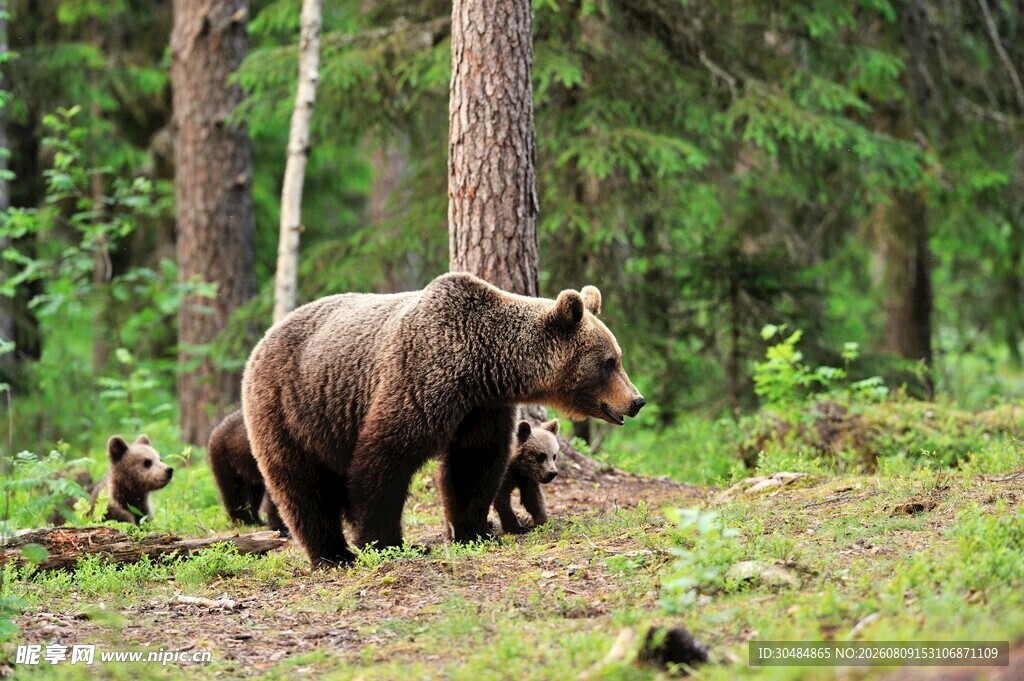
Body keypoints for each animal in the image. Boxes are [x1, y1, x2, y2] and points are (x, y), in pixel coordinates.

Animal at [242, 272, 645, 567]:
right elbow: (385, 459)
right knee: (303, 487)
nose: (636, 400)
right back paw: (333, 554)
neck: (481, 366)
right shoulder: (419, 379)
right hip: (291, 408)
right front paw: (388, 542)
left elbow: (474, 463)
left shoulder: (482, 407)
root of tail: (261, 341)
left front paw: (474, 531)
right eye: (609, 361)